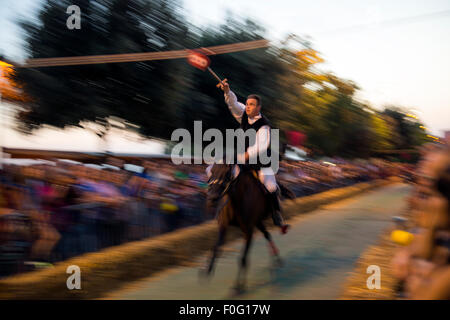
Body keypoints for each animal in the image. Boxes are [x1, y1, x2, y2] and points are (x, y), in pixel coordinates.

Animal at [202, 164, 284, 294]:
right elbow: (217, 247)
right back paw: (276, 259)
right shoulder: (224, 225)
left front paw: (238, 286)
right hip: (258, 222)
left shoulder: (248, 231)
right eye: (212, 171)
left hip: (258, 221)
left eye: (227, 174)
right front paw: (208, 269)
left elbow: (243, 258)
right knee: (267, 234)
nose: (212, 198)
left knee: (267, 234)